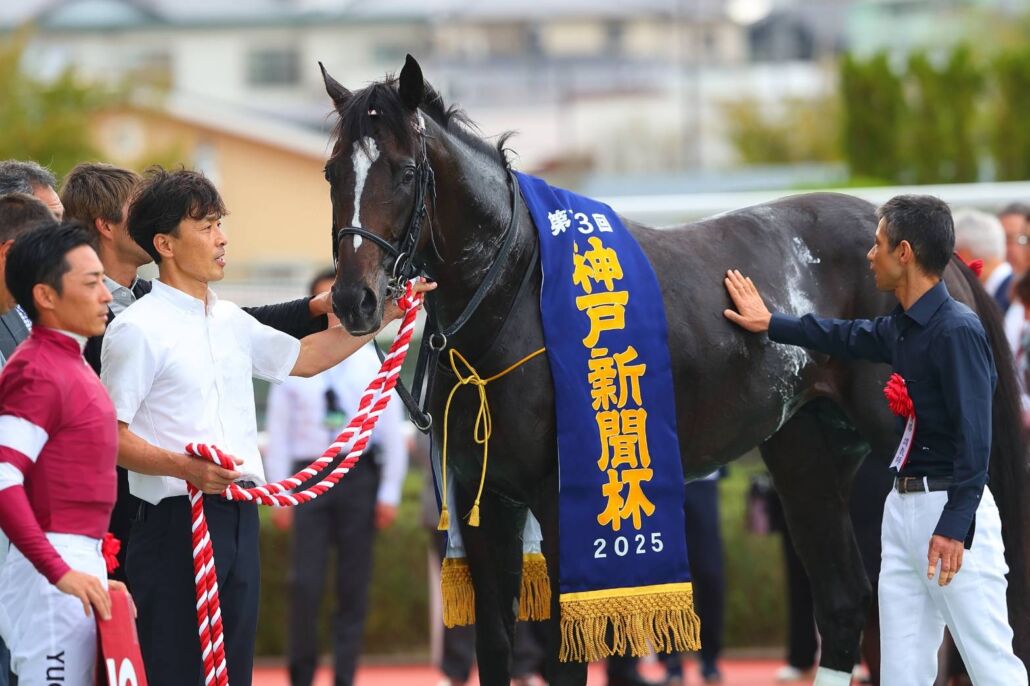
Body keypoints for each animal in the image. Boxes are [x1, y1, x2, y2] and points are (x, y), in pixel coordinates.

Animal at [319, 55, 1029, 685]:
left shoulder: (561, 497)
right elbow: (495, 646)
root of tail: (938, 263)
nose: (355, 300)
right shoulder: (485, 497)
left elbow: (564, 654)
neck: (517, 292)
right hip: (807, 452)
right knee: (845, 601)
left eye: (405, 171)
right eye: (332, 172)